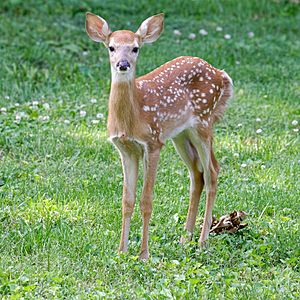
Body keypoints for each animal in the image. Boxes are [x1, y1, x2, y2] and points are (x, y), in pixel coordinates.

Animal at [85, 12, 233, 258]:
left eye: (135, 48)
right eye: (111, 47)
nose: (123, 64)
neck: (134, 116)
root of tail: (221, 75)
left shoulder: (153, 143)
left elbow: (146, 201)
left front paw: (144, 254)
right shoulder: (125, 149)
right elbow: (127, 201)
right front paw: (121, 250)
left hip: (204, 122)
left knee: (213, 170)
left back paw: (202, 241)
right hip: (180, 135)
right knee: (197, 174)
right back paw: (185, 238)